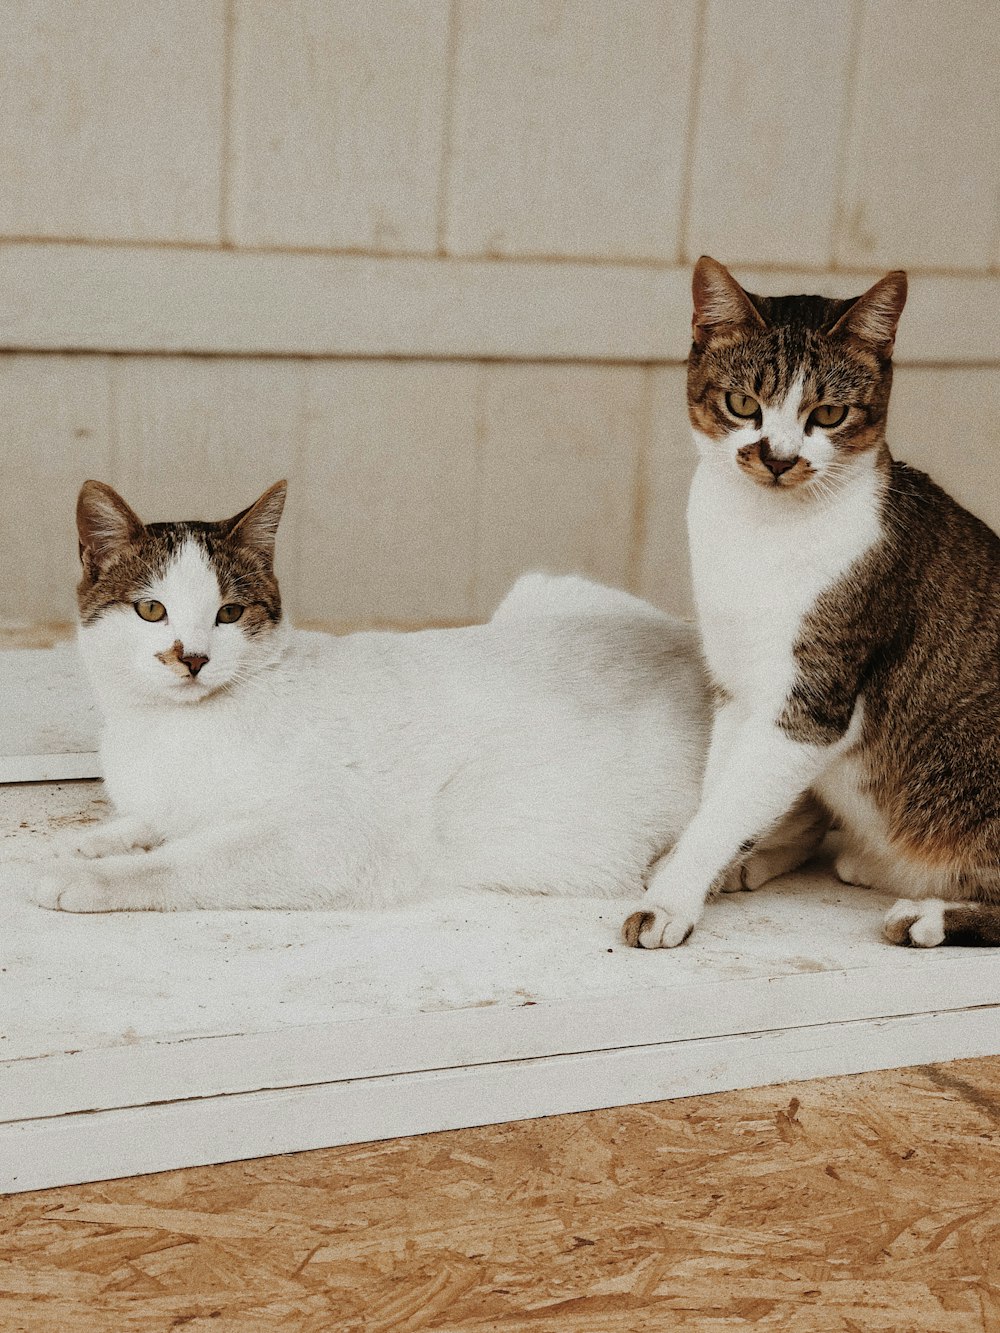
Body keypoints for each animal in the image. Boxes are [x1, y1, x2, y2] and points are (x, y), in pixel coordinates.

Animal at [35, 479, 816, 917]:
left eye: (228, 614)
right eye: (152, 611)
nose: (191, 657)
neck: (156, 731)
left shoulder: (324, 838)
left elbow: (180, 860)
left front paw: (85, 878)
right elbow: (150, 823)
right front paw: (95, 840)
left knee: (799, 819)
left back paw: (724, 868)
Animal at [626, 254, 1000, 954]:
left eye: (828, 413)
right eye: (743, 403)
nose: (777, 456)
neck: (760, 533)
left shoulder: (811, 702)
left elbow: (729, 804)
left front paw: (670, 899)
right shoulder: (737, 684)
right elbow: (720, 792)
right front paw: (712, 870)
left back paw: (927, 913)